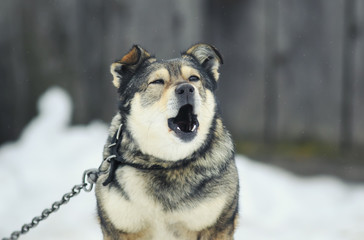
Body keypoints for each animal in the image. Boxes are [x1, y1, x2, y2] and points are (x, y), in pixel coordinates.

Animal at [95, 43, 240, 240]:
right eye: (157, 82)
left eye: (193, 78)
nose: (186, 89)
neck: (166, 163)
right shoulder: (120, 227)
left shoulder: (217, 225)